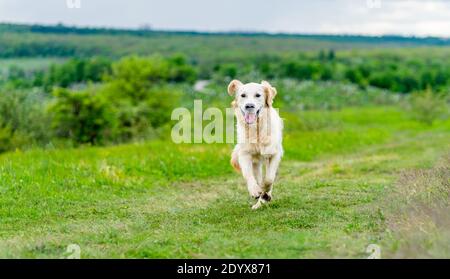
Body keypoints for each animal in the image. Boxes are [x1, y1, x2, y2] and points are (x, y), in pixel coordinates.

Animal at [227, 80, 284, 209]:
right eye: (243, 95)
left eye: (258, 95)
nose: (249, 106)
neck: (256, 129)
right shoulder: (244, 154)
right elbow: (248, 175)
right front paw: (254, 191)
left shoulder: (275, 153)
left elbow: (269, 178)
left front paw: (265, 194)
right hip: (256, 162)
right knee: (257, 176)